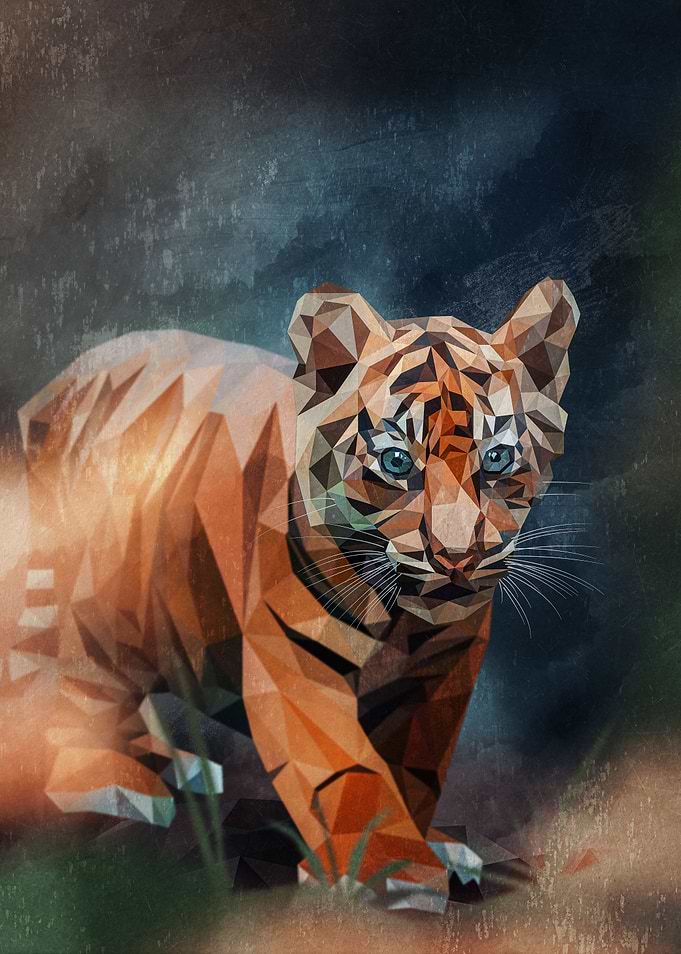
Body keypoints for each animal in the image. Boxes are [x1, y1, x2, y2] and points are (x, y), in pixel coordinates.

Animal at [0, 278, 578, 911]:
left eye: (497, 457)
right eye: (396, 461)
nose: (457, 557)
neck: (405, 619)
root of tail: (53, 390)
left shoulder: (445, 669)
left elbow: (417, 766)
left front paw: (432, 848)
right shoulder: (296, 657)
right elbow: (346, 768)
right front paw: (390, 866)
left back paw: (174, 762)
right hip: (81, 594)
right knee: (61, 687)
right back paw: (113, 780)